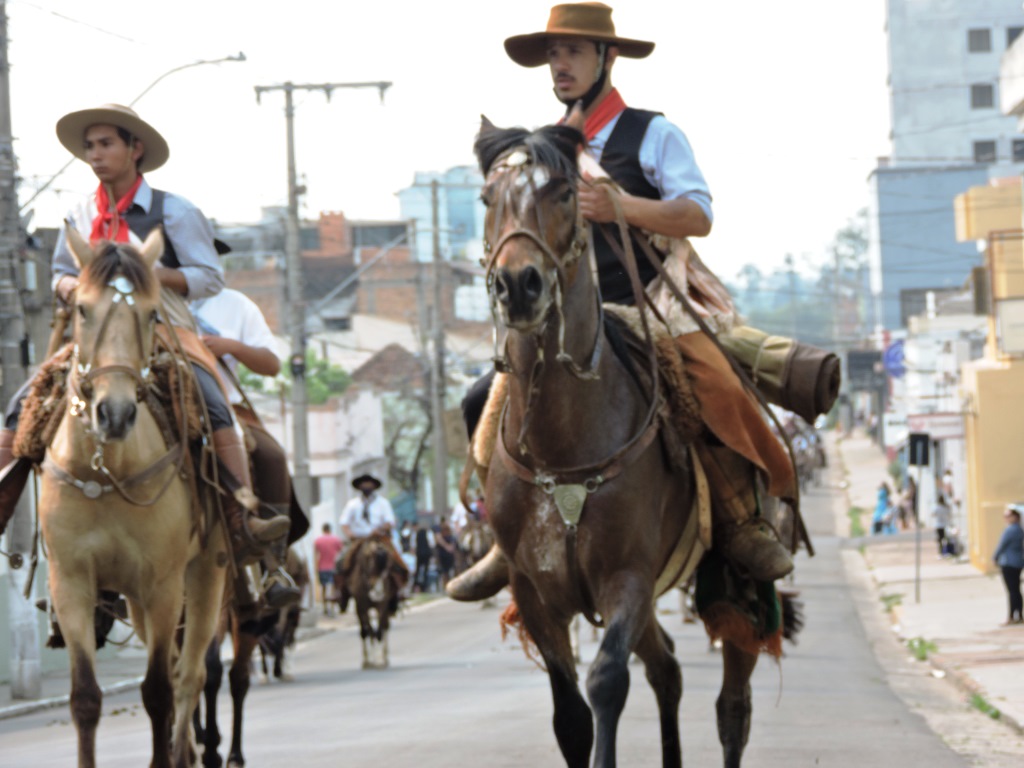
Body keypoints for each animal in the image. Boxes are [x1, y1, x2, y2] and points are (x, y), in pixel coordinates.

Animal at [38, 228, 227, 768]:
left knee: (190, 674)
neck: (107, 470)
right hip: (135, 601)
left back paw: (184, 752)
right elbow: (85, 697)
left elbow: (159, 691)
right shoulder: (72, 583)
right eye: (82, 309)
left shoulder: (163, 584)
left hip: (204, 575)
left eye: (150, 313)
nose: (115, 413)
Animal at [475, 115, 765, 768]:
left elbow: (607, 682)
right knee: (668, 670)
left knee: (733, 703)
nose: (518, 285)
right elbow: (570, 717)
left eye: (564, 193)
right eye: (485, 198)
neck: (561, 447)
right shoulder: (535, 591)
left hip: (731, 580)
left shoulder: (627, 577)